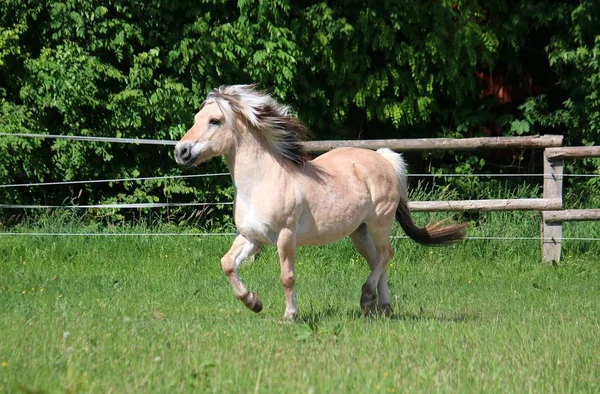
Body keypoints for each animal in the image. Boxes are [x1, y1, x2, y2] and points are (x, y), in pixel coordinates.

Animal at [176, 84, 466, 322]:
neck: (261, 182)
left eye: (215, 121)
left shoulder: (285, 236)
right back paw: (381, 306)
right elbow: (227, 264)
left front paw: (290, 315)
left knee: (386, 254)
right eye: (196, 119)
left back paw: (367, 298)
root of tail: (384, 159)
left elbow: (287, 277)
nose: (181, 151)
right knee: (377, 259)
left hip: (379, 222)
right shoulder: (252, 237)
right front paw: (253, 302)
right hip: (359, 232)